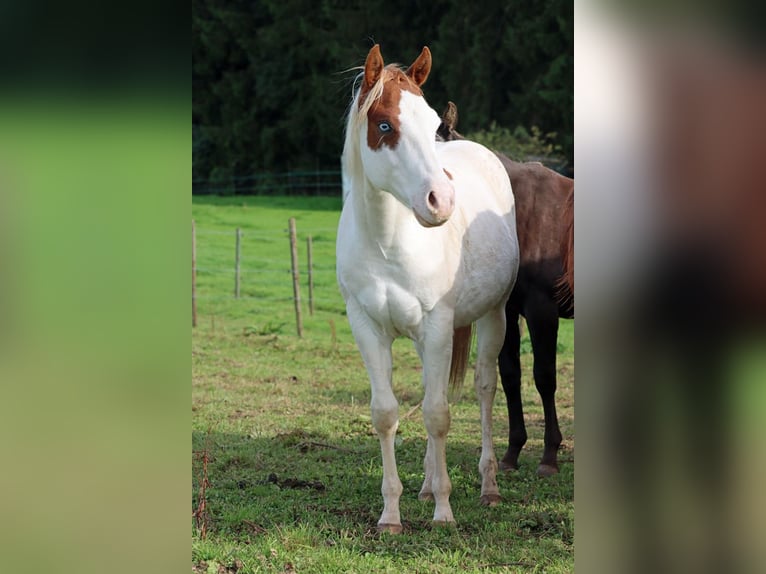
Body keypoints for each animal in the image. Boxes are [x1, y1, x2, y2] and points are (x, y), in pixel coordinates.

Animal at [336, 45, 520, 532]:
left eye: (434, 122)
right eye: (385, 125)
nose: (441, 200)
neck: (387, 241)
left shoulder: (439, 326)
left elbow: (438, 415)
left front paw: (444, 511)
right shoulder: (366, 327)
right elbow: (387, 414)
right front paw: (391, 515)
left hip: (494, 315)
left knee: (484, 387)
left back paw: (488, 486)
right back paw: (423, 484)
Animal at [437, 101, 574, 476]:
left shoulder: (543, 311)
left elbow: (544, 377)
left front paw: (549, 456)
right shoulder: (506, 310)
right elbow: (511, 374)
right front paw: (513, 452)